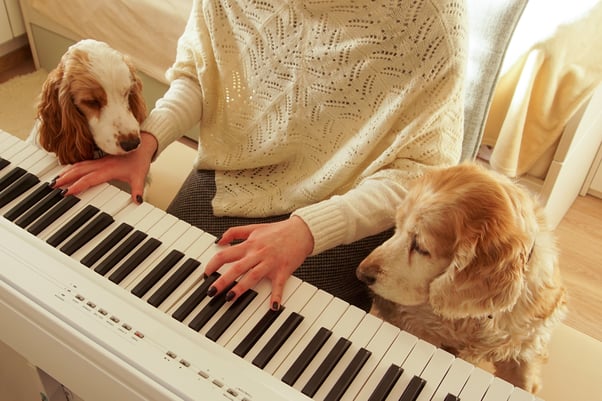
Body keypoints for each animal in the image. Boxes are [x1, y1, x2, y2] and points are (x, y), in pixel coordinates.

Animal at [356, 161, 568, 392]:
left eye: (420, 247)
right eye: (396, 227)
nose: (361, 274)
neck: (480, 317)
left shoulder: (526, 348)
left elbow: (525, 384)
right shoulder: (419, 328)